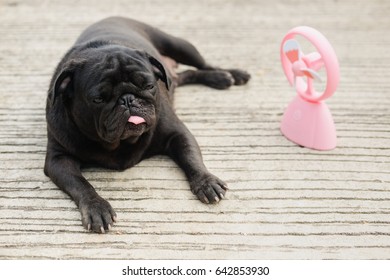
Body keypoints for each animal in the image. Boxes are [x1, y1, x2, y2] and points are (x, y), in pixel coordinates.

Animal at [44, 16, 251, 233]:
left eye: (150, 86)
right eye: (98, 99)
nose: (128, 99)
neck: (120, 144)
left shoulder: (178, 133)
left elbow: (190, 157)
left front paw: (206, 182)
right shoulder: (59, 159)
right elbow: (80, 183)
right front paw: (96, 207)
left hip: (180, 46)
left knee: (204, 64)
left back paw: (230, 75)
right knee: (181, 77)